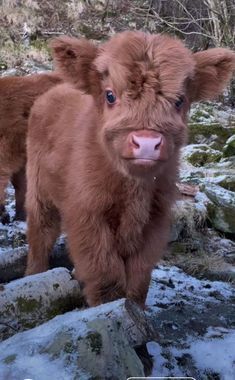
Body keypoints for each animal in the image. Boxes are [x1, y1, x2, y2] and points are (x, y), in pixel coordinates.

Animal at [25, 31, 235, 308]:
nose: (147, 142)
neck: (134, 189)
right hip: (38, 190)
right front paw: (111, 306)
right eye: (110, 95)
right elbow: (105, 272)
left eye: (179, 100)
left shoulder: (155, 219)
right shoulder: (87, 214)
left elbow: (139, 275)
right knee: (41, 233)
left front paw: (135, 309)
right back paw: (34, 273)